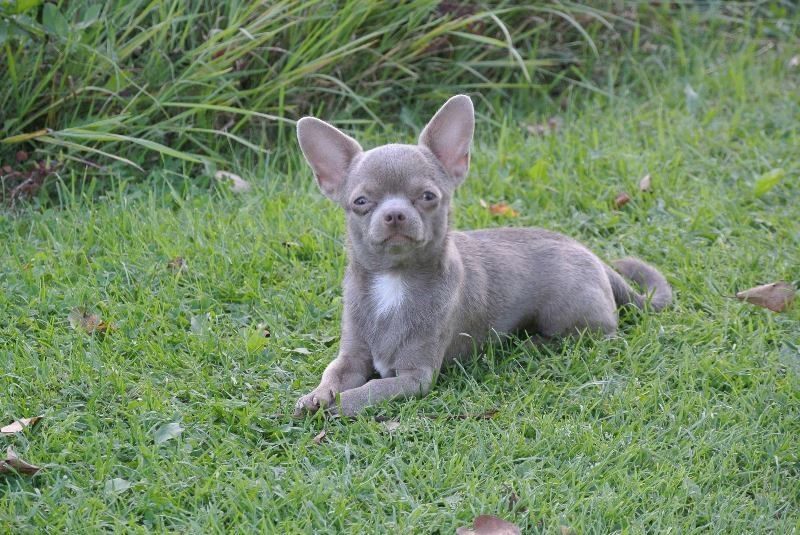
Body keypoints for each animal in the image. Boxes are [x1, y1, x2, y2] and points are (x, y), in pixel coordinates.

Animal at [294, 94, 668, 416]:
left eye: (428, 196)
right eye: (360, 202)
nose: (395, 214)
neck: (395, 279)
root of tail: (593, 256)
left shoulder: (415, 377)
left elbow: (373, 389)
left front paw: (341, 403)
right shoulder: (352, 357)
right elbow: (333, 372)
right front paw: (318, 395)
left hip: (569, 312)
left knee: (599, 335)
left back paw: (534, 343)